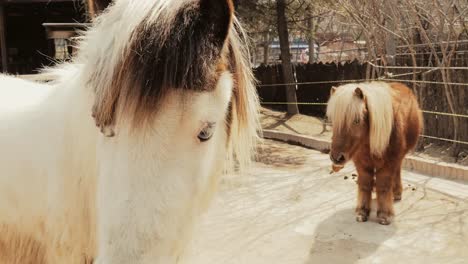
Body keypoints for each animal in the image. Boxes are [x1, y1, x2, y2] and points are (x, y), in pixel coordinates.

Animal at [326, 82, 424, 225]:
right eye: (333, 120)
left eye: (356, 120)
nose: (336, 158)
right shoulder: (362, 164)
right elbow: (365, 184)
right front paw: (362, 212)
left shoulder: (388, 163)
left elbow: (383, 186)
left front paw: (384, 215)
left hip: (399, 157)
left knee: (397, 171)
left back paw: (396, 193)